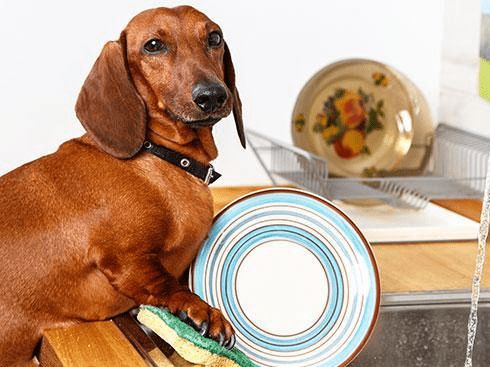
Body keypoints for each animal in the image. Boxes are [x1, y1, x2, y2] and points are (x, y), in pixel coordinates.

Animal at [0, 6, 244, 367]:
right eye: (153, 45)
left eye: (214, 37)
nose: (212, 95)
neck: (160, 158)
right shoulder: (125, 259)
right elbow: (162, 282)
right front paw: (197, 309)